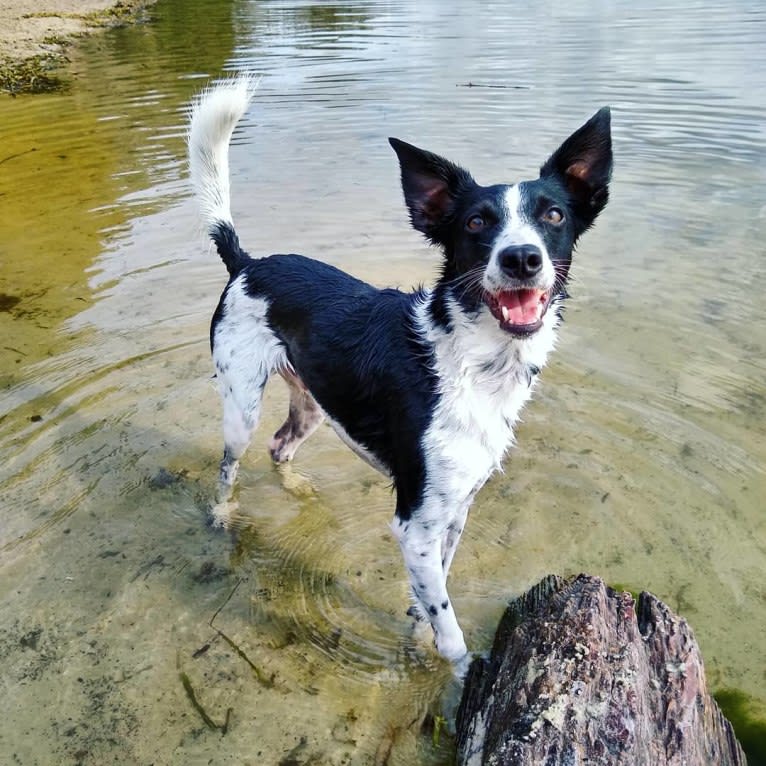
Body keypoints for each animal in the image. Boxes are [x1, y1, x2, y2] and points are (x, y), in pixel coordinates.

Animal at [189, 79, 616, 664]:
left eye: (553, 216)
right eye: (476, 223)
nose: (522, 258)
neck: (469, 364)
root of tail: (248, 263)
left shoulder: (455, 510)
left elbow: (431, 597)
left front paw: (417, 638)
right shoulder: (414, 524)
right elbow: (452, 634)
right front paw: (456, 677)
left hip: (314, 403)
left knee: (281, 446)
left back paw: (299, 493)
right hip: (240, 406)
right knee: (229, 467)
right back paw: (221, 517)